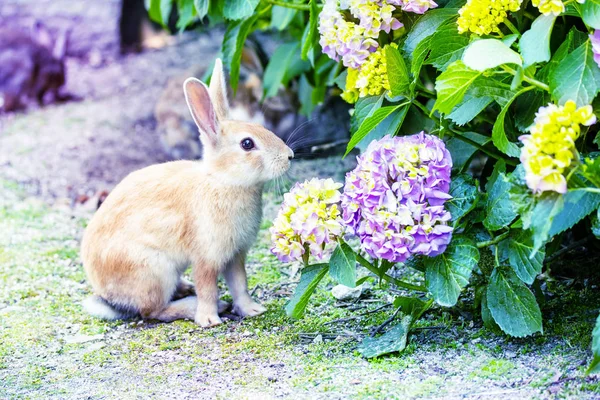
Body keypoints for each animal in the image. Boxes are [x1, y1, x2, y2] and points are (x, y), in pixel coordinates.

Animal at [81, 60, 294, 328]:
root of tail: (105, 293)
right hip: (154, 271)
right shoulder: (206, 256)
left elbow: (240, 285)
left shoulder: (235, 256)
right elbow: (207, 289)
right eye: (247, 144)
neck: (223, 181)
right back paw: (195, 307)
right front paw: (209, 319)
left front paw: (253, 310)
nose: (289, 156)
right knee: (152, 311)